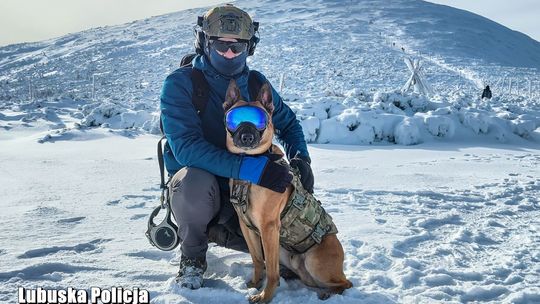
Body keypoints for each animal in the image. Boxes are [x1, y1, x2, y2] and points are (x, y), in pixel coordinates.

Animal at [223, 78, 352, 302]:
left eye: (260, 120)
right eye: (235, 119)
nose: (247, 137)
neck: (252, 166)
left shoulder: (268, 228)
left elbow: (270, 270)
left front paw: (265, 296)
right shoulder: (247, 227)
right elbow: (258, 260)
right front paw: (254, 284)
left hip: (314, 261)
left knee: (346, 283)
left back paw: (328, 294)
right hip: (285, 252)